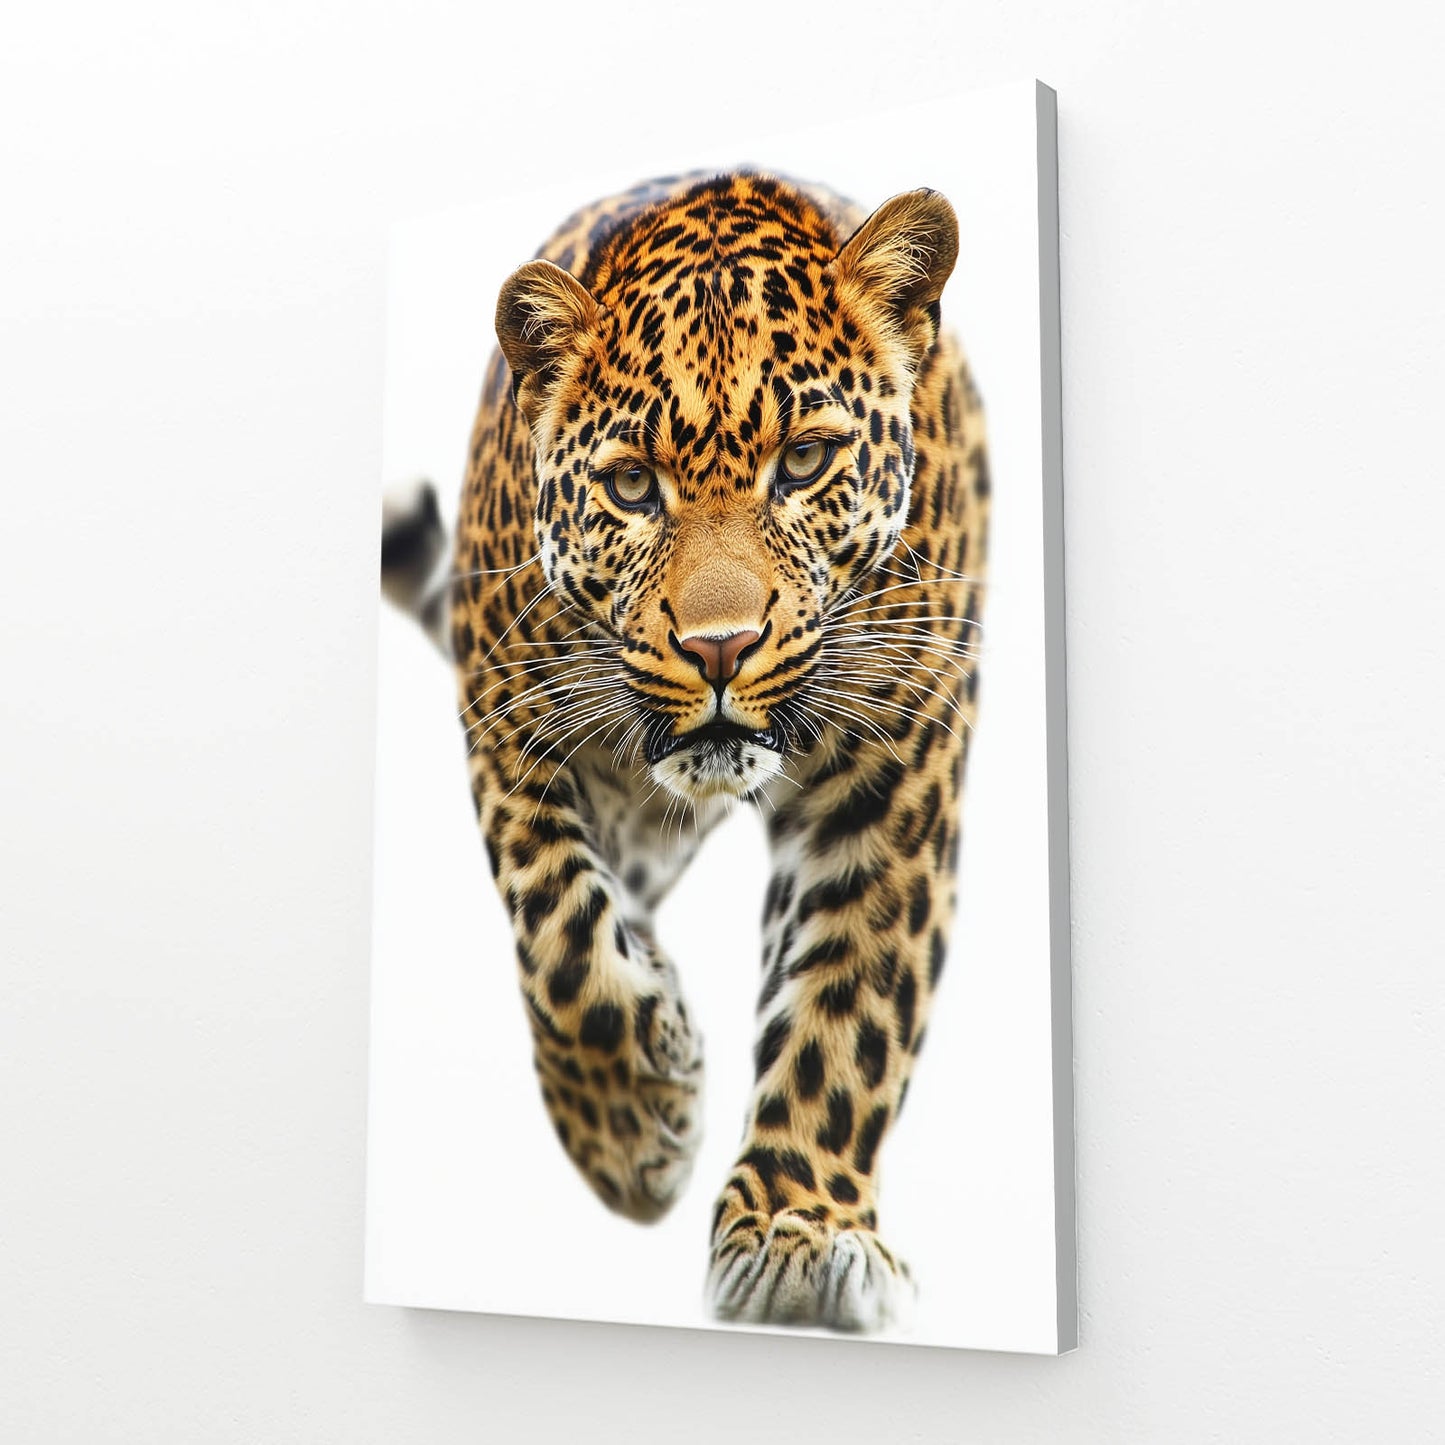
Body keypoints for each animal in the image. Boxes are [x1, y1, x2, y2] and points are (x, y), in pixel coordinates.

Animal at [380, 170, 988, 1333]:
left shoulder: (893, 768)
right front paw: (630, 1135)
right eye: (629, 486)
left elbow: (847, 1001)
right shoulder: (505, 716)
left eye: (804, 461)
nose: (718, 646)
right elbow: (562, 937)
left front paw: (801, 1231)